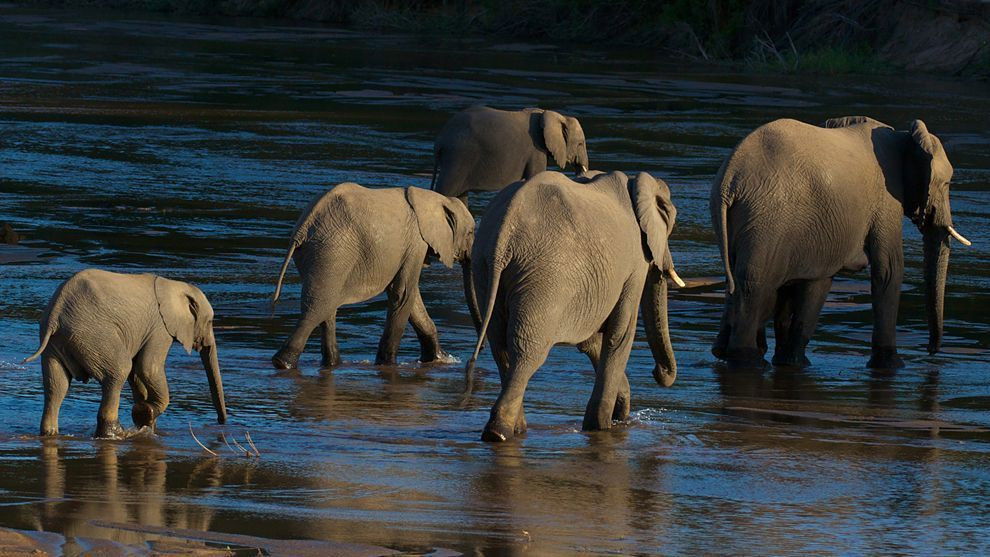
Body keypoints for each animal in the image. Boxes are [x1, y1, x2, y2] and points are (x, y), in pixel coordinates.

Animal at [24, 269, 228, 438]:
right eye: (210, 321)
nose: (221, 422)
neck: (174, 285)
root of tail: (55, 312)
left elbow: (137, 373)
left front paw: (145, 422)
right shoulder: (160, 328)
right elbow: (148, 368)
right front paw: (145, 414)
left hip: (55, 343)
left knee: (56, 385)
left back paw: (50, 434)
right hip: (93, 334)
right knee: (119, 371)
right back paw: (116, 434)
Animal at [271, 183, 475, 370]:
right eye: (471, 232)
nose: (471, 359)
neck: (435, 199)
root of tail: (304, 226)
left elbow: (409, 296)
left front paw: (439, 359)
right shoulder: (416, 242)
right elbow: (403, 294)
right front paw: (387, 364)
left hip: (319, 254)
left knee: (326, 306)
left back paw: (332, 364)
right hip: (332, 251)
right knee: (317, 308)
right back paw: (283, 363)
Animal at [430, 106, 590, 203]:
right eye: (580, 144)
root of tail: (440, 140)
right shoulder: (536, 149)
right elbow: (535, 176)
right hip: (458, 156)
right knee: (446, 191)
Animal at [464, 170, 685, 442]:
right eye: (670, 223)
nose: (657, 373)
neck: (635, 185)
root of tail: (504, 235)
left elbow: (592, 341)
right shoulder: (635, 265)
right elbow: (620, 334)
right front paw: (601, 427)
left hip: (484, 270)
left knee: (500, 345)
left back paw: (516, 429)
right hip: (545, 278)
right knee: (527, 351)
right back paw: (499, 433)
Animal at [710, 116, 971, 369]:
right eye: (947, 184)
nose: (931, 351)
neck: (904, 137)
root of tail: (730, 179)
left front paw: (788, 362)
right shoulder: (886, 199)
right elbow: (889, 271)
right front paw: (893, 366)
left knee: (740, 281)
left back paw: (727, 353)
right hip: (767, 220)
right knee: (755, 285)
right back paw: (748, 361)